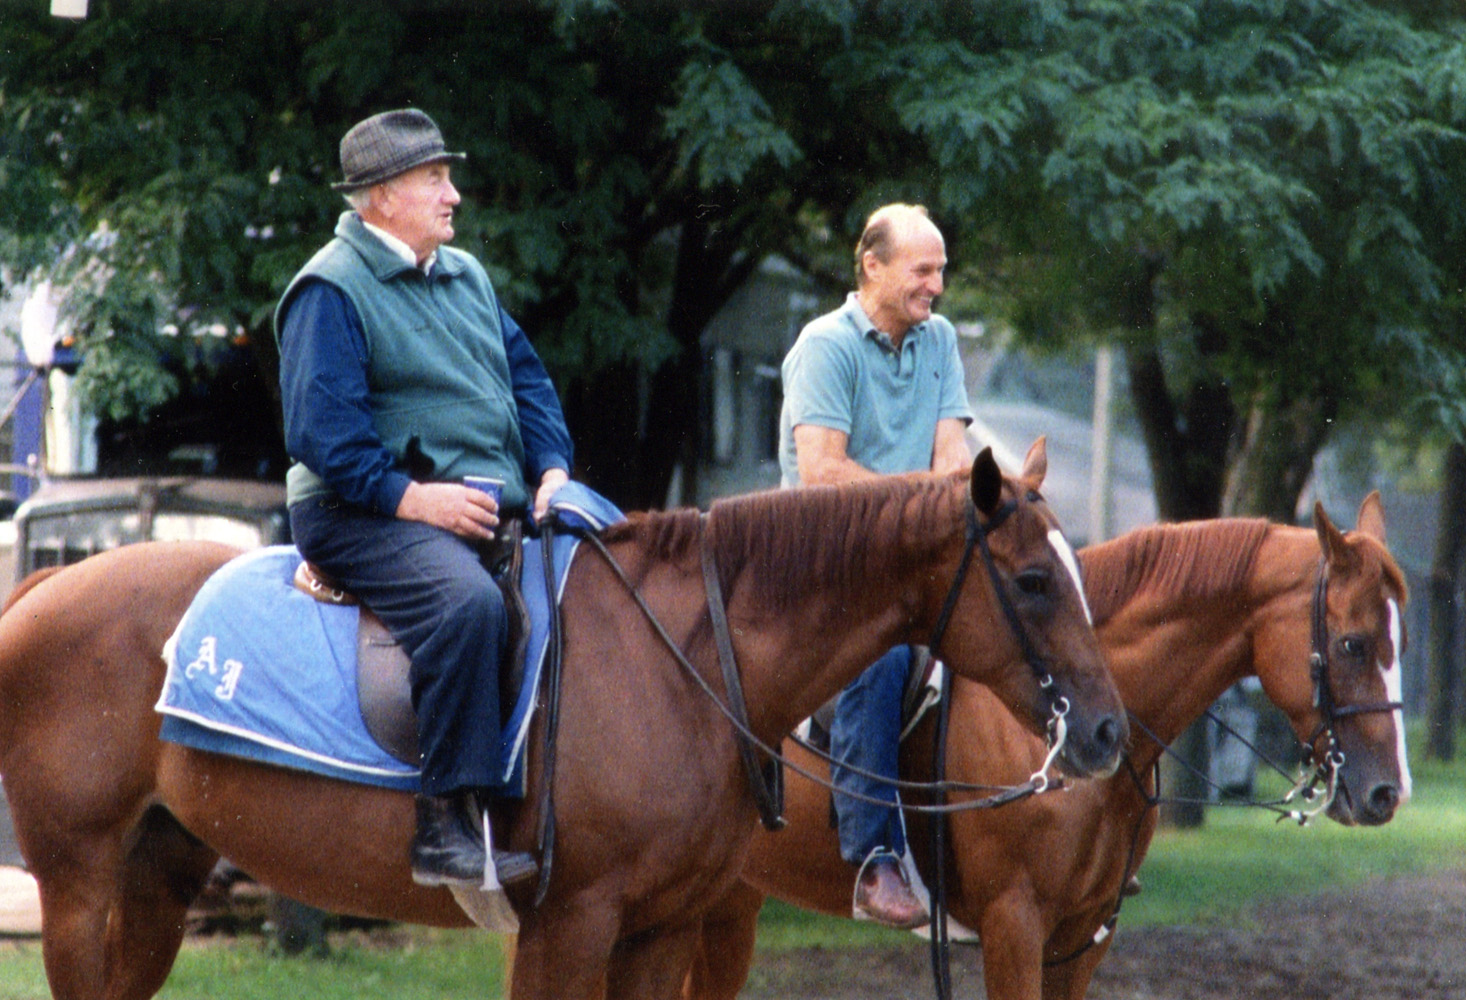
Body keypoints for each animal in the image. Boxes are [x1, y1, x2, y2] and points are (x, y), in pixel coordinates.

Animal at [0, 442, 1131, 997]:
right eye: (1033, 581)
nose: (1105, 734)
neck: (681, 659)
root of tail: (42, 586)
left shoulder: (658, 932)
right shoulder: (570, 925)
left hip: (158, 869)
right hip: (77, 879)